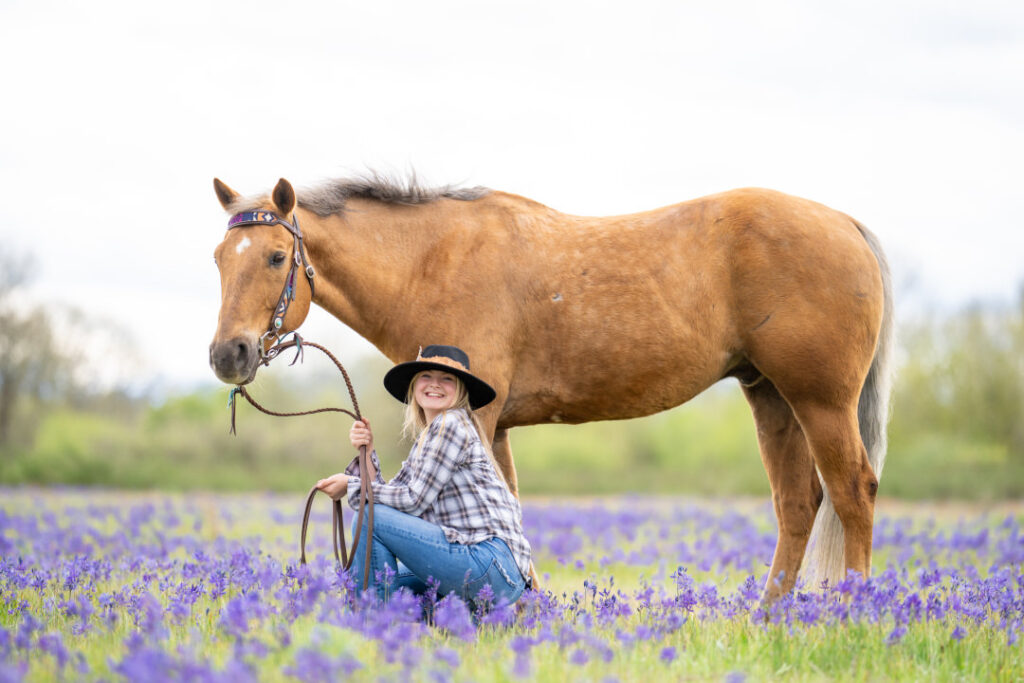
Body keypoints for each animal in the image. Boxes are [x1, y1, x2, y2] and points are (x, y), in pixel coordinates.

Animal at [207, 176, 888, 602]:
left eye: (274, 257)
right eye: (219, 257)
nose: (226, 354)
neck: (431, 261)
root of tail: (847, 224)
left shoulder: (476, 420)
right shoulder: (497, 425)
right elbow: (510, 505)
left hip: (821, 402)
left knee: (853, 493)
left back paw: (849, 613)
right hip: (771, 397)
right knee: (797, 506)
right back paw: (769, 617)